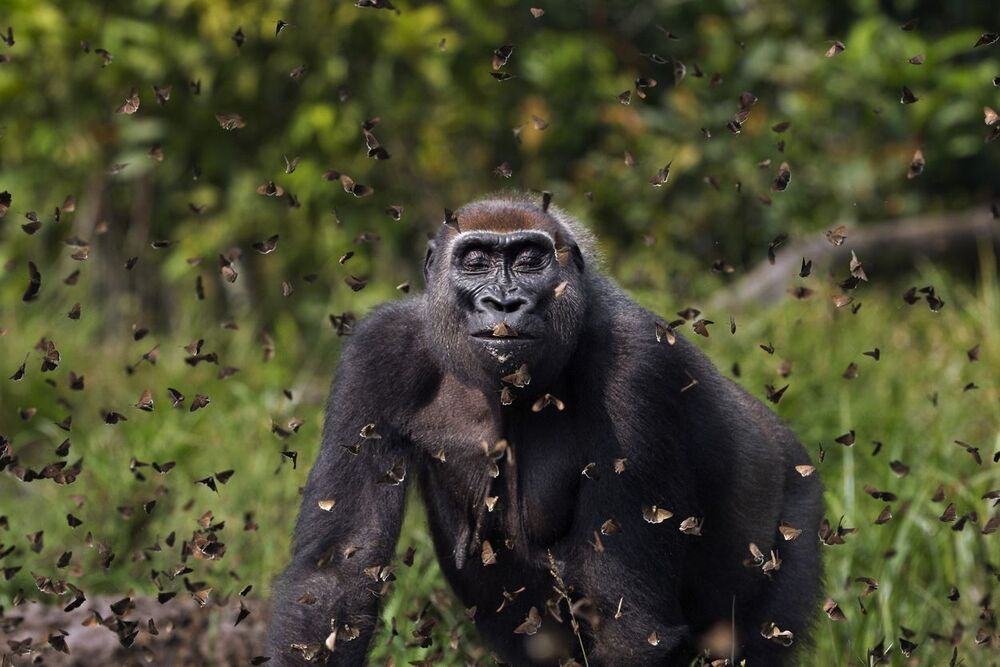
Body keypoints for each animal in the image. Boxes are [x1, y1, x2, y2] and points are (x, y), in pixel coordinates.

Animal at [266, 193, 823, 666]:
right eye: (476, 261)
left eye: (531, 260)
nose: (504, 303)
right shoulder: (378, 352)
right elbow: (336, 578)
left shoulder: (637, 364)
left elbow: (630, 623)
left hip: (797, 511)